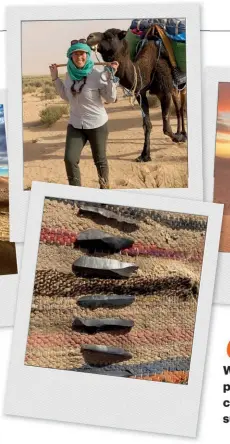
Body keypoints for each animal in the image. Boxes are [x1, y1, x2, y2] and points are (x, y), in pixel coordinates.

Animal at [86, 28, 187, 163]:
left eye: (109, 37)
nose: (89, 37)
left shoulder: (165, 91)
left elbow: (166, 127)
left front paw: (178, 138)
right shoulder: (141, 94)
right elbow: (147, 125)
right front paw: (144, 155)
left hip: (180, 85)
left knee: (180, 107)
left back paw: (183, 134)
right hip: (175, 88)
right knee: (178, 107)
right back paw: (180, 131)